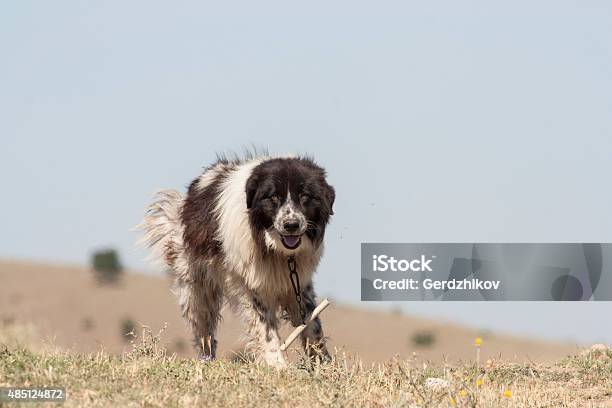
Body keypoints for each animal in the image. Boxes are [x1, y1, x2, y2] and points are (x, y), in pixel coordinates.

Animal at [139, 154, 334, 366]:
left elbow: (312, 323)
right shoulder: (250, 283)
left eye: (305, 196)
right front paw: (276, 364)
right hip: (196, 287)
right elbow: (265, 327)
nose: (291, 225)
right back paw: (207, 359)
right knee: (203, 327)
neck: (275, 250)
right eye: (273, 197)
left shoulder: (298, 283)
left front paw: (324, 363)